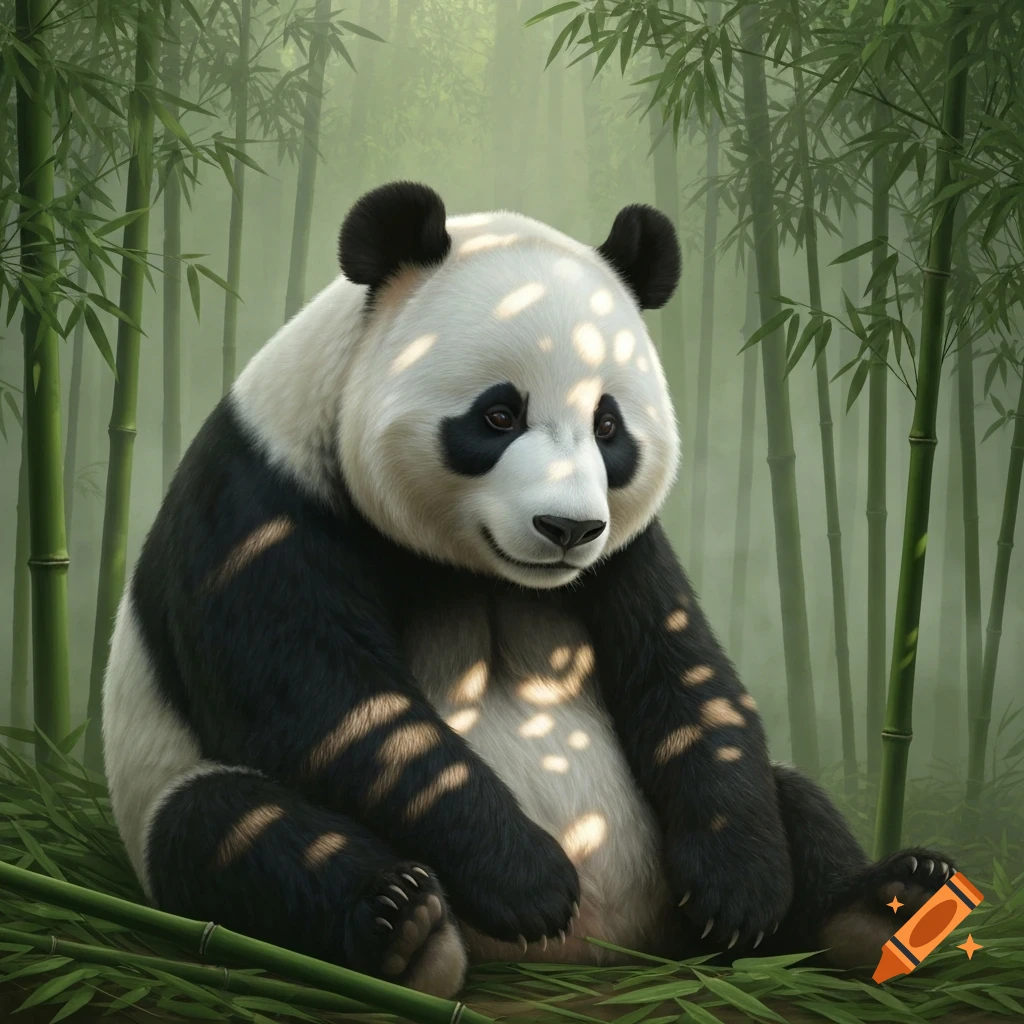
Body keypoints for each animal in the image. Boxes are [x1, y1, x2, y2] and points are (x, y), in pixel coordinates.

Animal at [103, 181, 956, 999]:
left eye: (608, 425)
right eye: (498, 414)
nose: (568, 528)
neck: (480, 568)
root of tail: (609, 950)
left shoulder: (627, 552)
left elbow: (685, 676)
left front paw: (741, 891)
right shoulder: (262, 505)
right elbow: (327, 703)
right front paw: (528, 881)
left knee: (789, 792)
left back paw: (883, 906)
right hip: (172, 803)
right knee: (228, 829)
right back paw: (407, 930)